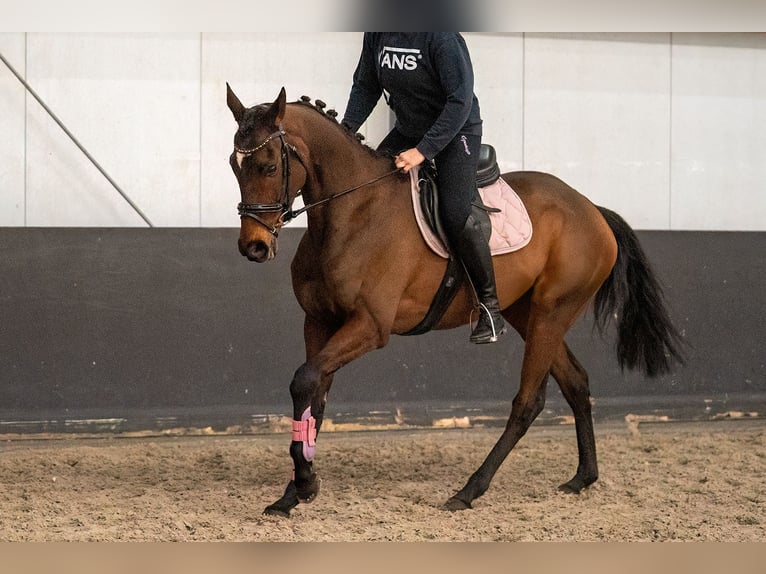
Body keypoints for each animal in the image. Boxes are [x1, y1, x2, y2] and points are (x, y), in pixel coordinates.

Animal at [226, 85, 685, 518]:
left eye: (269, 166)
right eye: (234, 164)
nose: (253, 247)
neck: (352, 213)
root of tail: (591, 208)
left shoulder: (369, 327)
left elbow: (305, 381)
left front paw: (304, 485)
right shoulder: (318, 322)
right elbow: (313, 396)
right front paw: (293, 493)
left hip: (553, 313)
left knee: (528, 401)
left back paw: (469, 490)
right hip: (530, 314)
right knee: (575, 381)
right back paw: (582, 477)